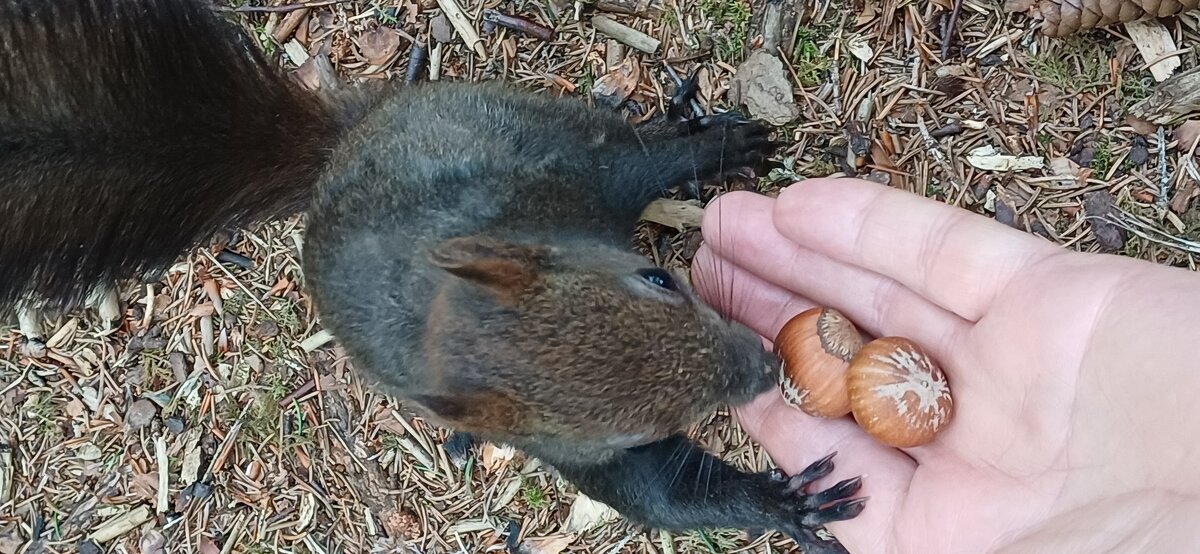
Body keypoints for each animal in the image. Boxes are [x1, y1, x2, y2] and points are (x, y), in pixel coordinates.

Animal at [1, 0, 867, 550]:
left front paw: (714, 149)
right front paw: (786, 505)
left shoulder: (563, 178)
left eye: (659, 282)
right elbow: (660, 496)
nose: (763, 366)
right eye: (632, 427)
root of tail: (333, 154)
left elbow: (636, 162)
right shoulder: (572, 450)